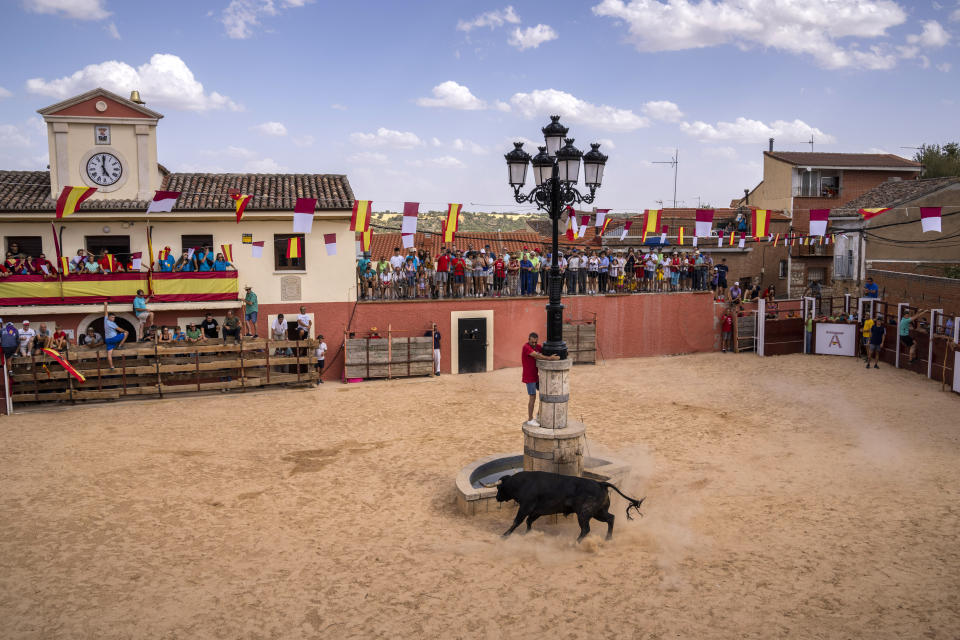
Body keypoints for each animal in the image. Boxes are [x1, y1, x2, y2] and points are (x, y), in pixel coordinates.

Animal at [488, 468, 644, 544]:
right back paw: (608, 538)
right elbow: (528, 521)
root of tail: (601, 484)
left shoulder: (526, 507)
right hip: (598, 512)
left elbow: (517, 521)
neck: (521, 483)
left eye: (499, 488)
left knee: (586, 529)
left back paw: (575, 543)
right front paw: (528, 534)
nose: (496, 497)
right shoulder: (537, 511)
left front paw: (504, 535)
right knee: (611, 518)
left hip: (584, 513)